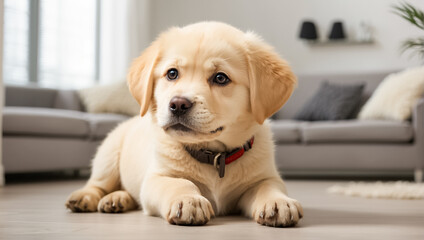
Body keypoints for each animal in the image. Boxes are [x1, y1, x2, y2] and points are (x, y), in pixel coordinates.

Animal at [67, 21, 302, 227]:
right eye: (172, 73)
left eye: (220, 78)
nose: (178, 104)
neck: (215, 157)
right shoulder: (156, 178)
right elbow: (180, 182)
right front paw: (189, 200)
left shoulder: (265, 176)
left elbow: (268, 186)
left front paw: (278, 202)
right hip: (108, 154)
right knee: (97, 183)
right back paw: (86, 197)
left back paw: (117, 199)